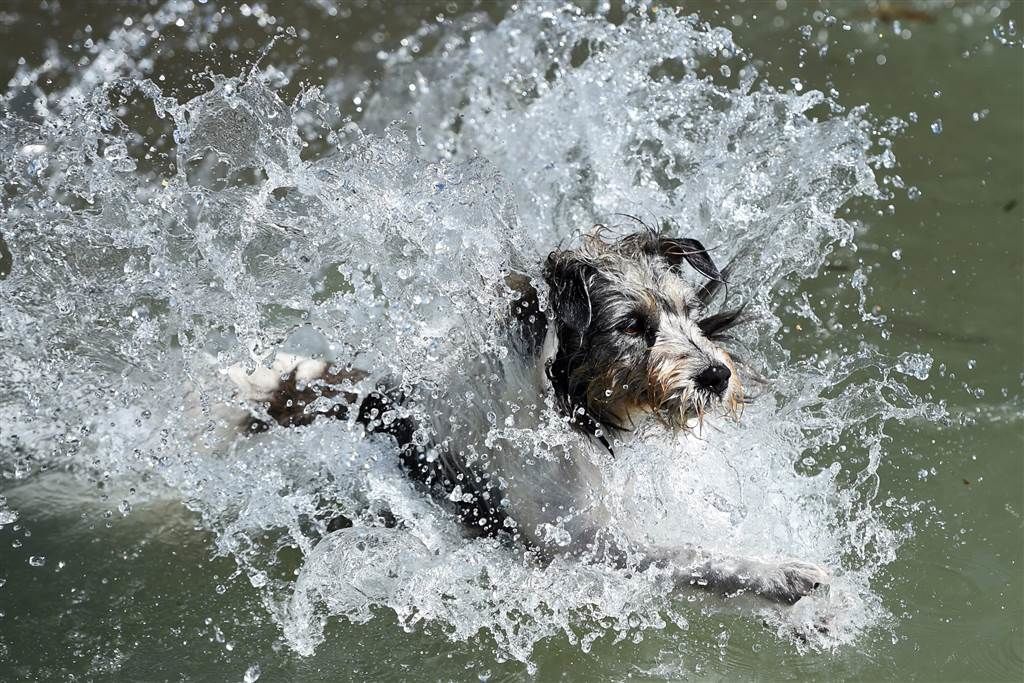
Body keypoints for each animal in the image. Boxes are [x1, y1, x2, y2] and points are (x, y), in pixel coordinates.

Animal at [226, 228, 831, 602]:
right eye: (632, 324)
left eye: (687, 312)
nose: (718, 375)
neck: (565, 410)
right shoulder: (583, 544)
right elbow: (696, 556)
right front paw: (784, 575)